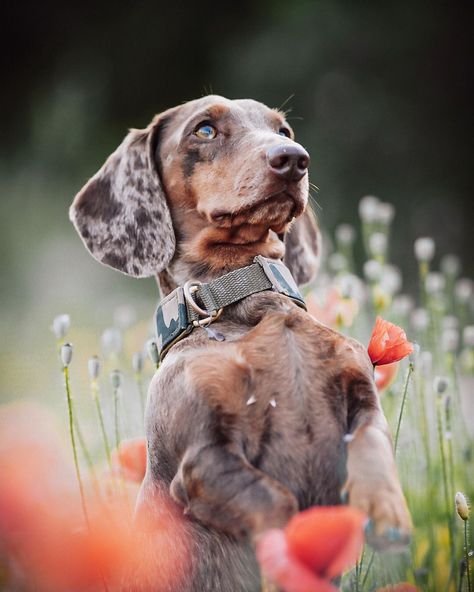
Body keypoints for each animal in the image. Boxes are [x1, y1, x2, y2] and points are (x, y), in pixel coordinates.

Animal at [70, 95, 412, 588]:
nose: (294, 159)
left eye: (284, 131)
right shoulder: (205, 459)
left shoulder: (363, 398)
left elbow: (372, 443)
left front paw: (386, 511)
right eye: (204, 129)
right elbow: (277, 502)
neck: (243, 294)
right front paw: (288, 561)